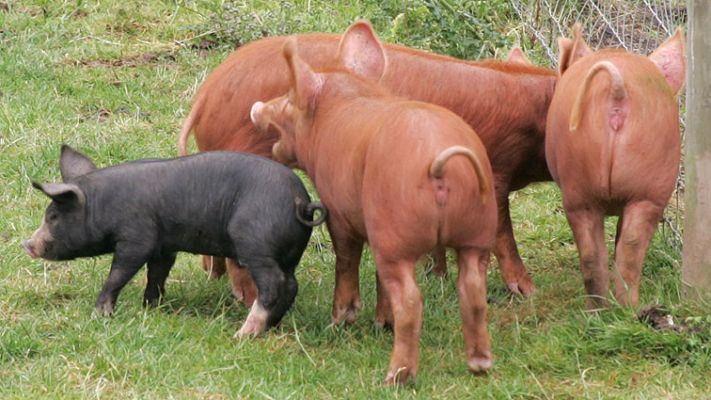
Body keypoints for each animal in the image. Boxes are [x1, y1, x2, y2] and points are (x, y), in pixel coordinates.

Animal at [23, 145, 326, 336]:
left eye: (53, 216)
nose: (27, 244)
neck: (103, 203)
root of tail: (301, 202)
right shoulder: (164, 246)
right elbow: (157, 274)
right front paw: (150, 307)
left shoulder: (137, 238)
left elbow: (119, 273)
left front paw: (100, 313)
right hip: (288, 255)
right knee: (291, 284)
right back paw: (270, 327)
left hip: (256, 244)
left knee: (274, 284)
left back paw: (241, 334)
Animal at [178, 22, 557, 322]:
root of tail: (206, 94)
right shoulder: (493, 171)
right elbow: (503, 233)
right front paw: (528, 290)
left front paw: (436, 276)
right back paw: (247, 300)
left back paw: (214, 279)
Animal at [250, 21, 497, 385]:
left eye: (289, 101)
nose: (257, 106)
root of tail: (439, 163)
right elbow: (379, 280)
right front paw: (381, 323)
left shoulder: (339, 212)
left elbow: (345, 261)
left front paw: (339, 322)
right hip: (476, 231)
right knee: (473, 292)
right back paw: (480, 365)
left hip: (397, 235)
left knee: (411, 301)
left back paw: (396, 377)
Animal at [545, 24, 686, 309]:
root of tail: (617, 90)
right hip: (646, 184)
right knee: (621, 249)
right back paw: (620, 308)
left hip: (592, 185)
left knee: (605, 250)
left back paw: (609, 309)